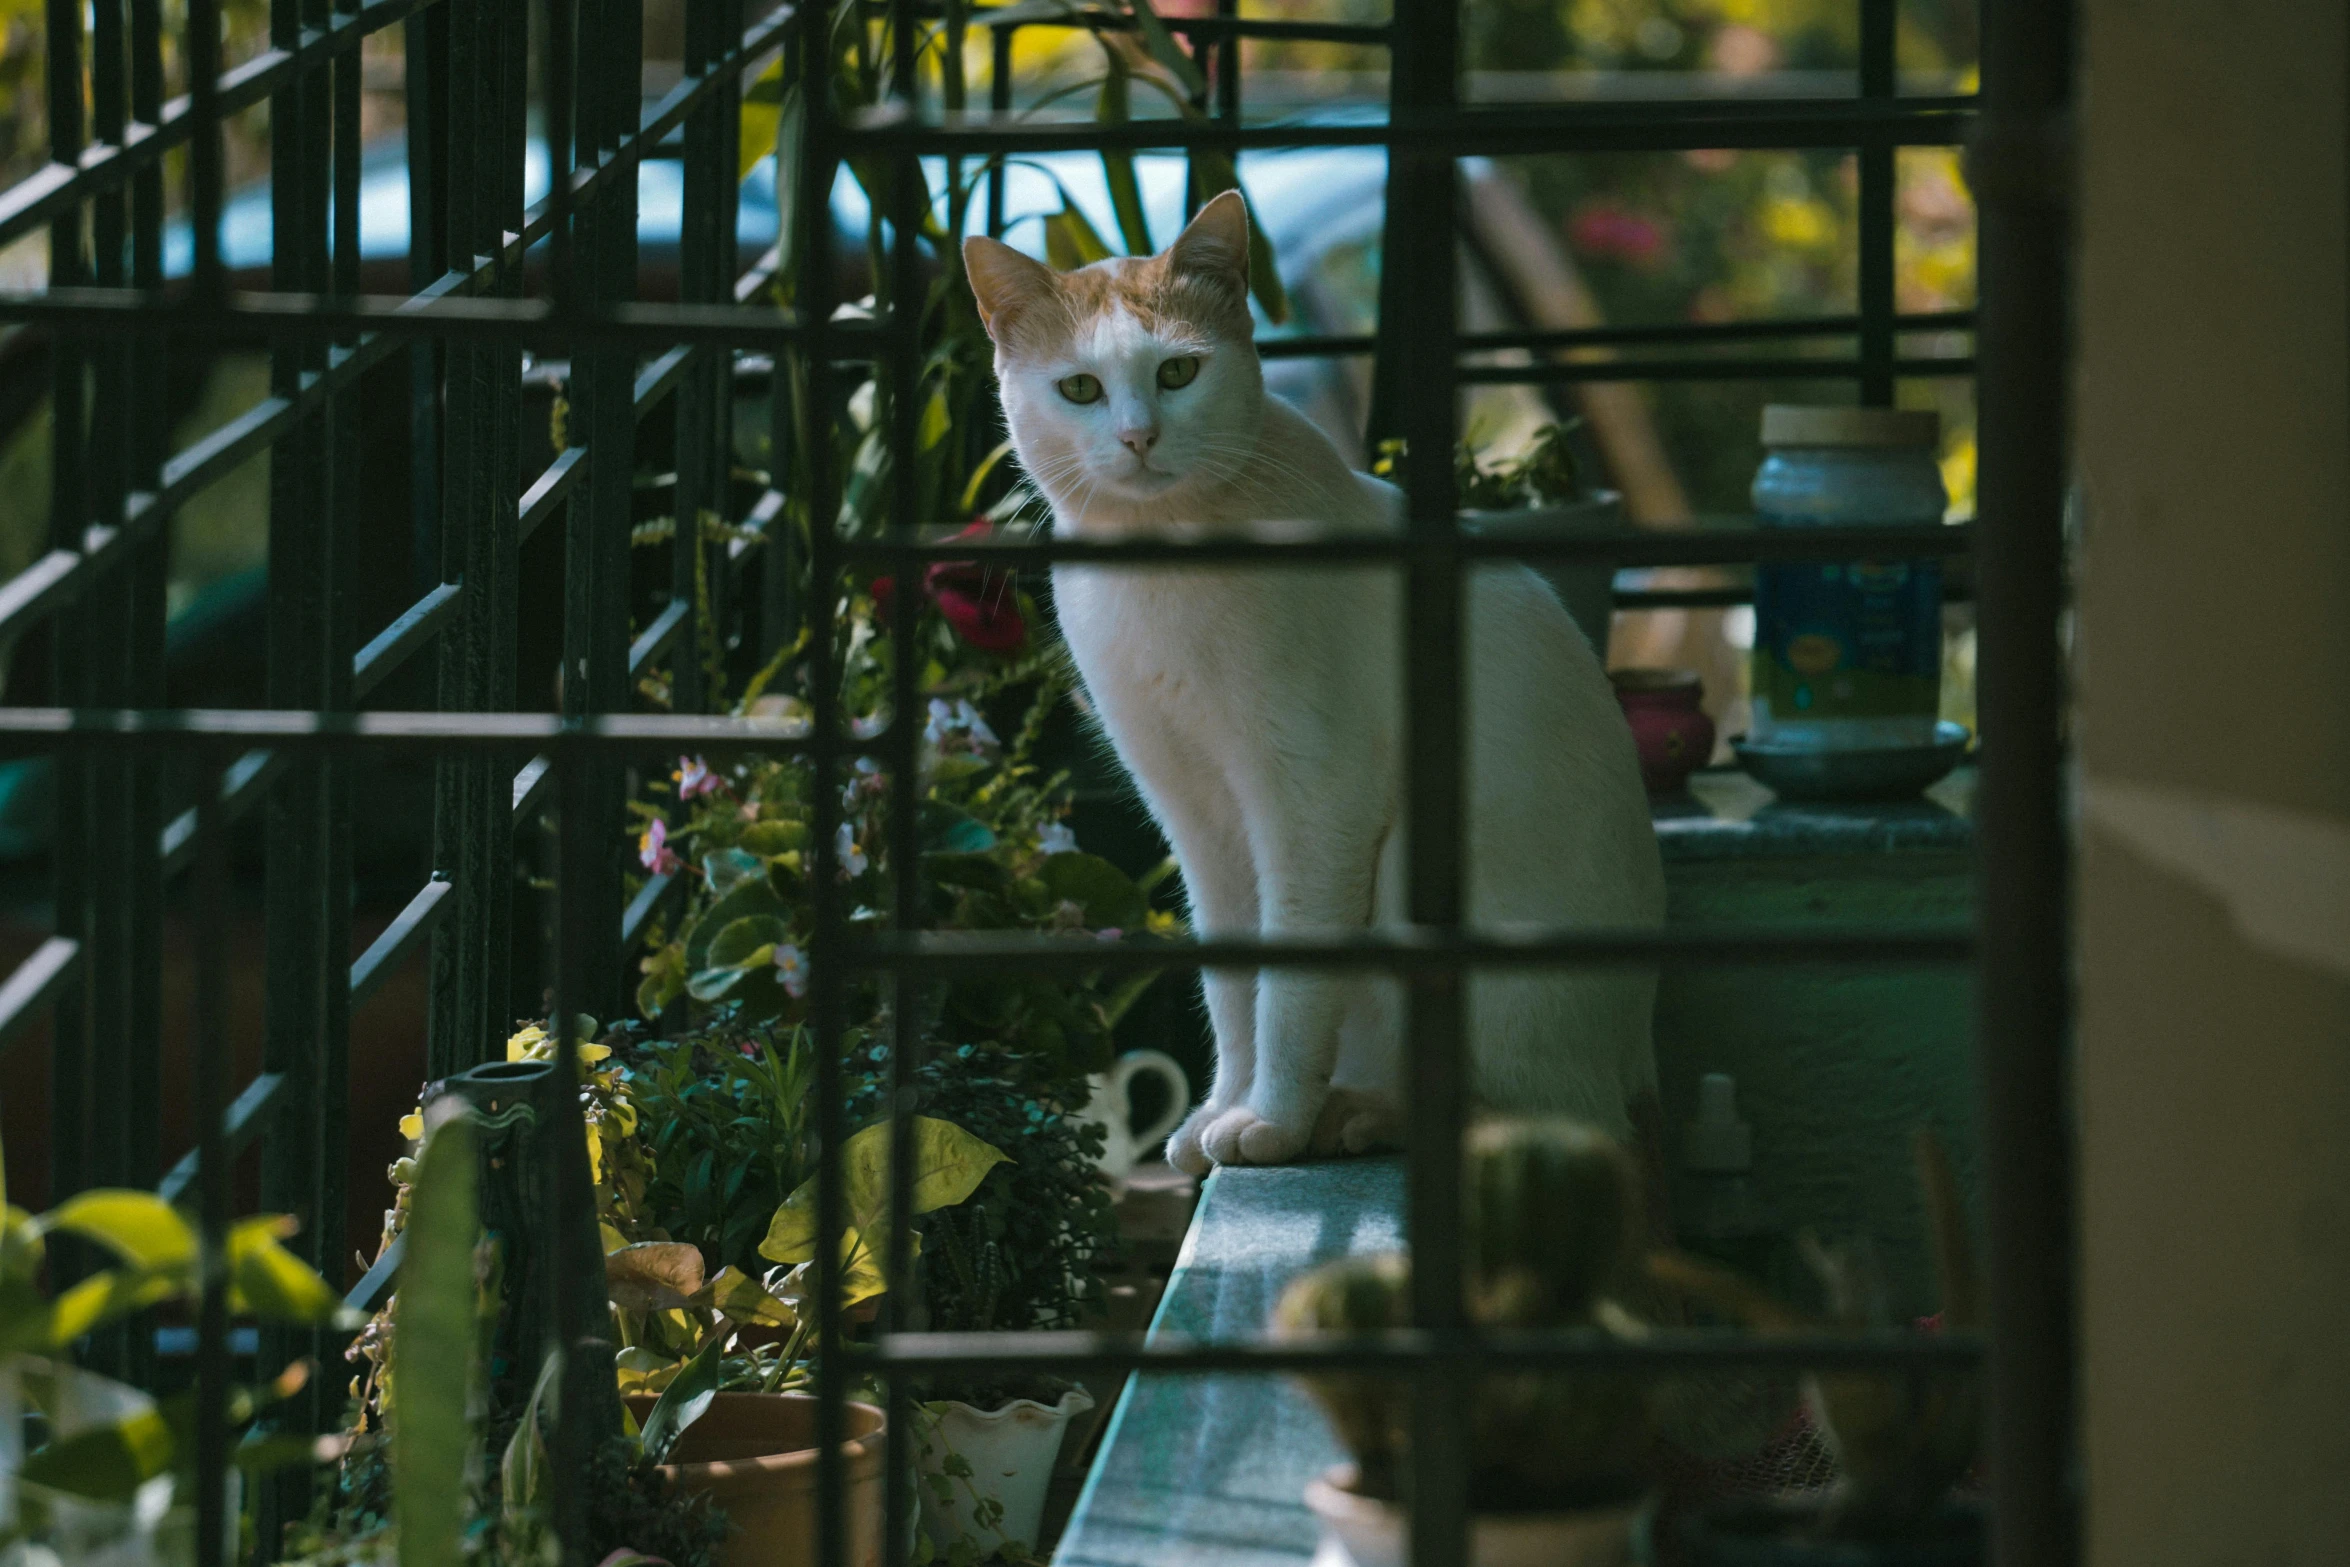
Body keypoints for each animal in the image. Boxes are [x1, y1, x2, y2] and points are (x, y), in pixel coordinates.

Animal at [963, 192, 1663, 1174]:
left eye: (1178, 372)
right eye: (1080, 390)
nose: (1139, 437)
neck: (1161, 562)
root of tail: (1640, 1063)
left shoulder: (1314, 796)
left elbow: (1290, 984)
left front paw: (1271, 1122)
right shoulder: (1194, 810)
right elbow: (1232, 985)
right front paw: (1219, 1111)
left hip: (1416, 865)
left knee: (1536, 1111)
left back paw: (1360, 1115)